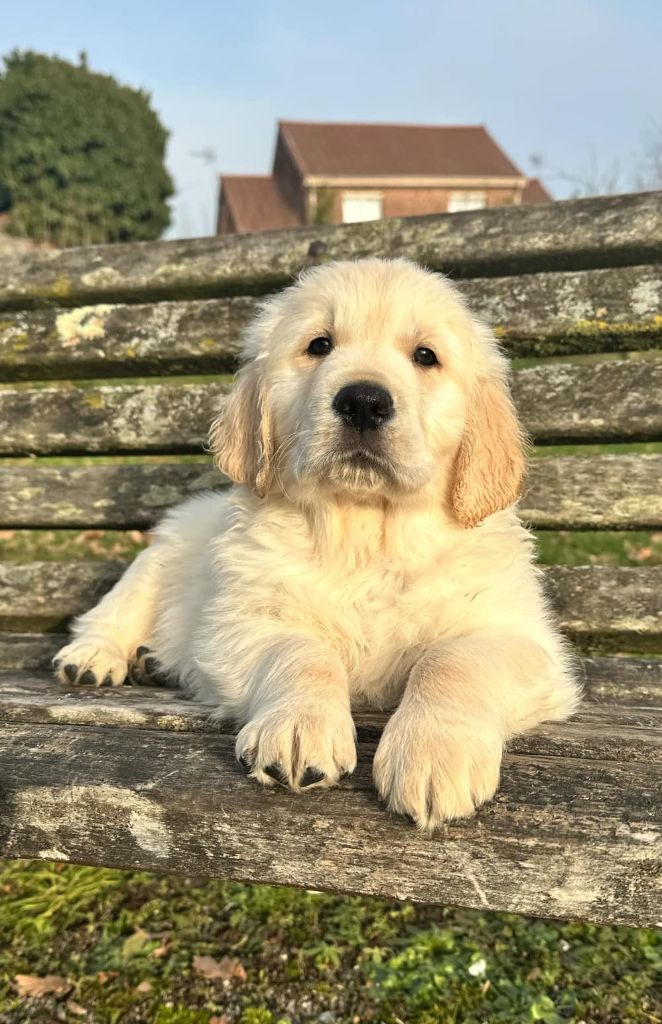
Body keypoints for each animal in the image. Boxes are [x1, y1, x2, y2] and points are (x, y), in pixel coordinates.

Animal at [55, 257, 580, 831]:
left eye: (426, 356)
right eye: (319, 345)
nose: (364, 401)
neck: (367, 535)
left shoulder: (518, 637)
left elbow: (452, 661)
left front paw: (435, 753)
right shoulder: (246, 621)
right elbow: (303, 651)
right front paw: (299, 726)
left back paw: (150, 661)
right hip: (160, 555)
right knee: (111, 613)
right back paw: (94, 657)